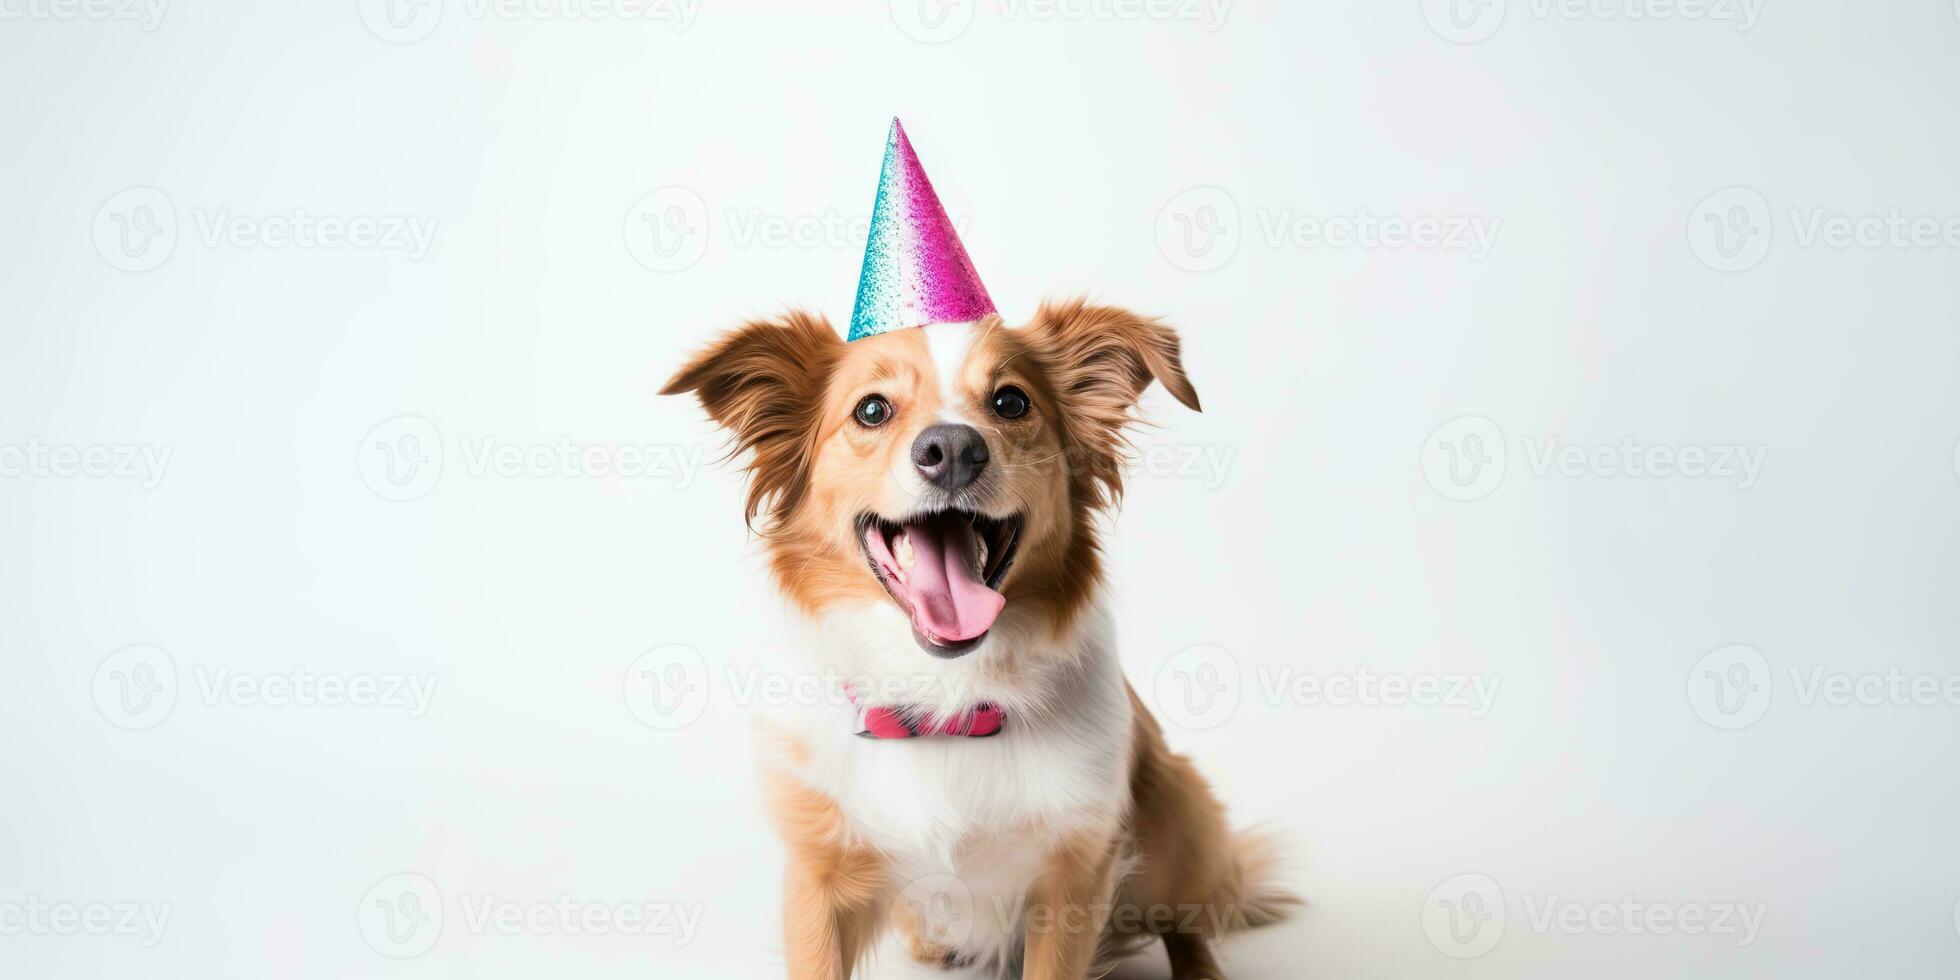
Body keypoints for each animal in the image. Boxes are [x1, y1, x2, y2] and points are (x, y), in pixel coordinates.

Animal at [666, 299, 1293, 980]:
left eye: (1011, 402)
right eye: (871, 410)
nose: (952, 448)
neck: (946, 703)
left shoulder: (1075, 875)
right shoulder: (817, 872)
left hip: (1178, 805)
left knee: (1186, 920)